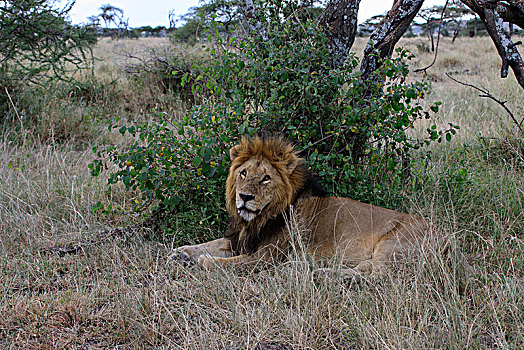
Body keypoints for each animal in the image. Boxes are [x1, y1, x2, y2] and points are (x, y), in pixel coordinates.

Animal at [172, 136, 430, 276]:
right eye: (243, 173)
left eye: (266, 179)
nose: (244, 197)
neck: (259, 219)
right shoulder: (241, 240)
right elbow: (210, 244)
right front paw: (181, 253)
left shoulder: (266, 257)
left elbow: (223, 262)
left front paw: (204, 261)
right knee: (365, 270)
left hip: (393, 244)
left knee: (378, 278)